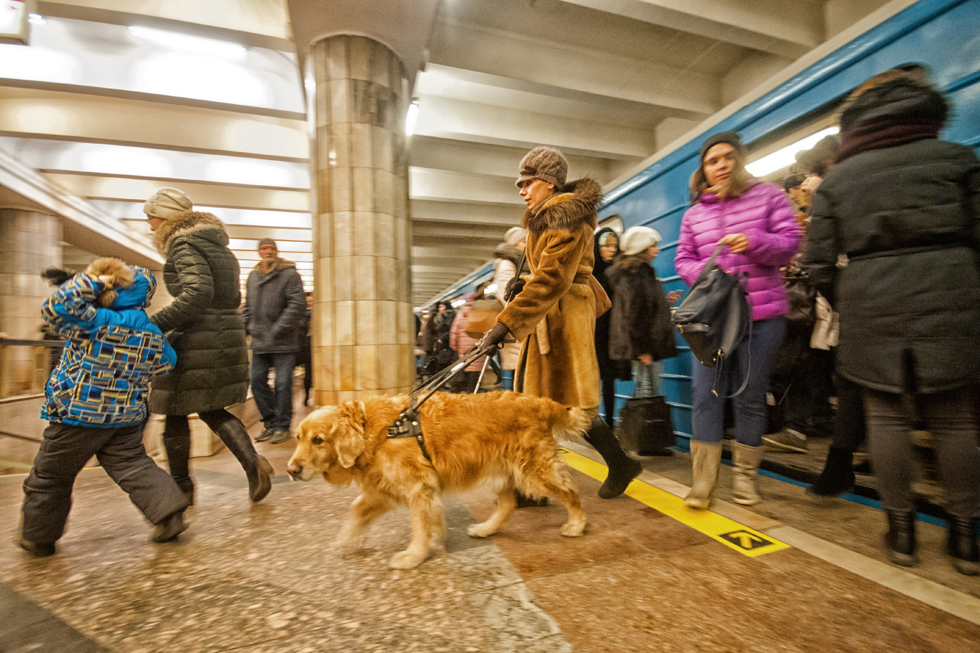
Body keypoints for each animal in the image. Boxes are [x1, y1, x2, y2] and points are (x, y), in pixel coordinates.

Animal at [284, 390, 588, 568]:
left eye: (318, 440)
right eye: (298, 437)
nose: (291, 470)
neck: (373, 430)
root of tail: (540, 401)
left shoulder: (419, 487)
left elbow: (420, 526)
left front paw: (413, 555)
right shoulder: (384, 489)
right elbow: (356, 510)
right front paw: (346, 541)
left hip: (533, 471)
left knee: (570, 490)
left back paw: (576, 524)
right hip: (499, 472)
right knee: (508, 504)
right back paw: (486, 528)